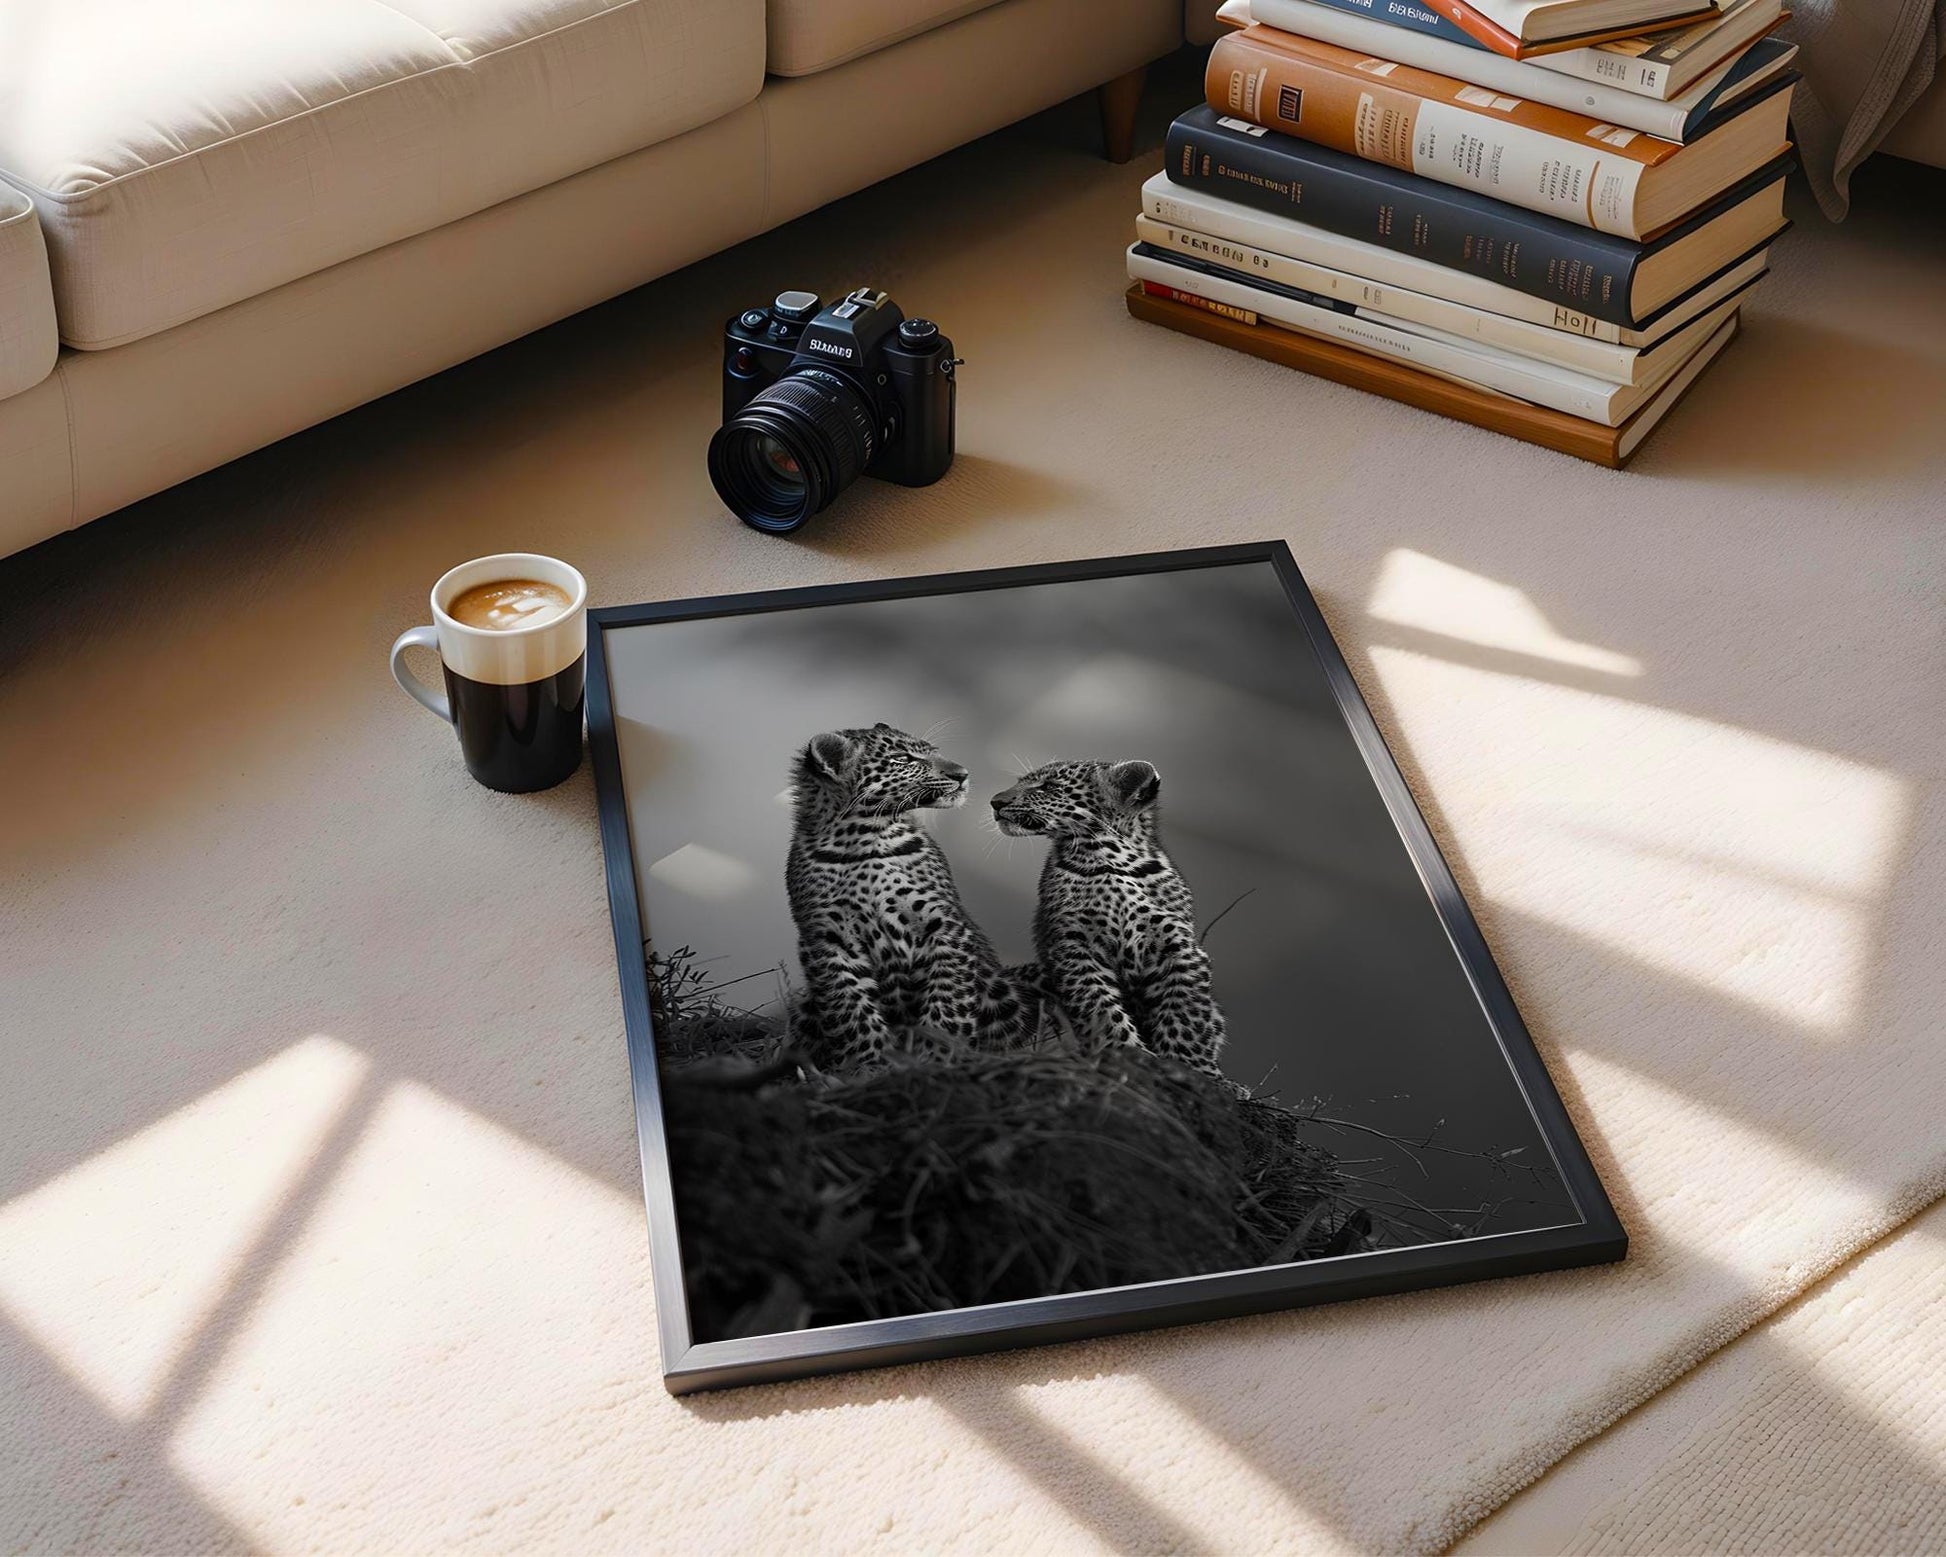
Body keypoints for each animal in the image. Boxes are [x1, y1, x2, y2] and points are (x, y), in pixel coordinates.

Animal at [786, 723, 1032, 1068]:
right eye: (903, 759)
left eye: (932, 751)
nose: (963, 773)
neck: (864, 840)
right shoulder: (826, 940)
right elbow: (851, 1011)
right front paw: (870, 1066)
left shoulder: (945, 926)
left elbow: (948, 999)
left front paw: (936, 1057)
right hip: (805, 1010)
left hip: (1000, 991)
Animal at [990, 758, 1226, 1073]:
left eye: (1049, 787)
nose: (995, 801)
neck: (1106, 857)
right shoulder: (1073, 946)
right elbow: (1100, 1007)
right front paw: (1127, 1053)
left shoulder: (1178, 947)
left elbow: (1187, 1015)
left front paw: (1196, 1070)